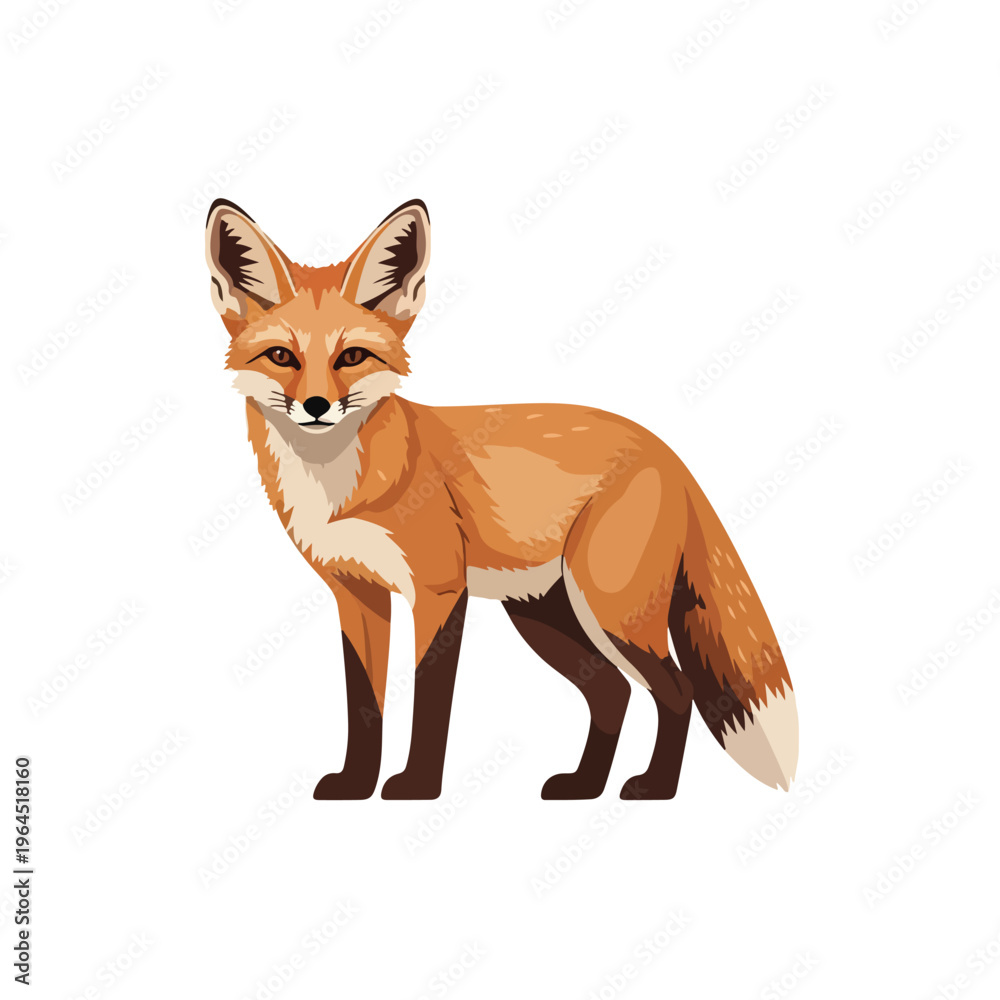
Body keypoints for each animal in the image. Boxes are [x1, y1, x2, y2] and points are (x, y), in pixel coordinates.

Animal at [204, 197, 798, 801]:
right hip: (544, 616)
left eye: (351, 358)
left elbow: (430, 700)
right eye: (282, 356)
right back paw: (584, 784)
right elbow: (363, 702)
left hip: (612, 612)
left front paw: (417, 785)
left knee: (677, 691)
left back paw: (654, 787)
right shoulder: (356, 595)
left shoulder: (439, 590)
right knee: (613, 691)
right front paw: (356, 783)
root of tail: (664, 447)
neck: (338, 484)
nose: (317, 406)